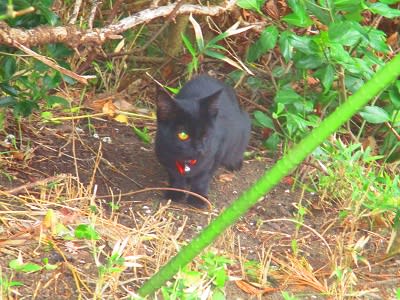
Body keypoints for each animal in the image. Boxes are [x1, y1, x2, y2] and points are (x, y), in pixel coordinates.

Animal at [155, 74, 250, 209]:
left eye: (205, 133)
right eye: (183, 135)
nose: (199, 149)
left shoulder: (216, 153)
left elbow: (203, 177)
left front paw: (198, 198)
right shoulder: (165, 156)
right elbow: (175, 176)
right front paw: (176, 192)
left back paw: (235, 163)